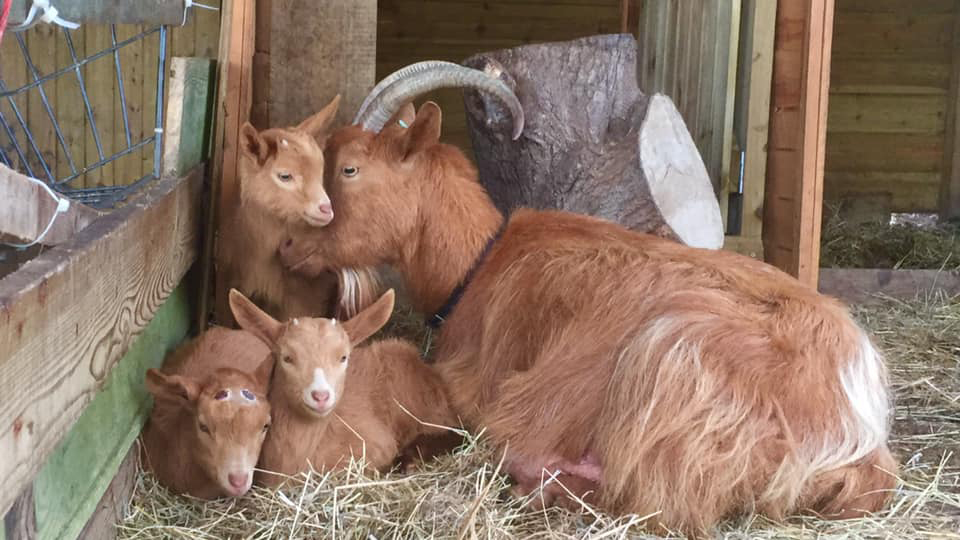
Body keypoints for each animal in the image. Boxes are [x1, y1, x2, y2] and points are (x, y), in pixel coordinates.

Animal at [274, 63, 896, 536]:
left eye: (349, 168)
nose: (287, 246)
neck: (482, 262)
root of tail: (852, 412)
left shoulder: (472, 385)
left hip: (668, 356)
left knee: (657, 499)